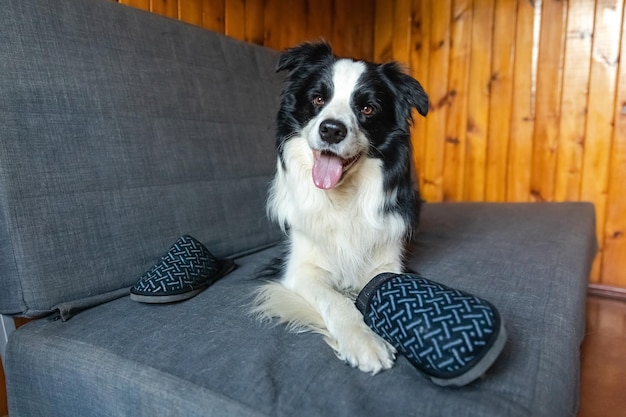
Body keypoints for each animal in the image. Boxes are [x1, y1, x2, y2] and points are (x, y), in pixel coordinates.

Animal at [251, 42, 426, 374]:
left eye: (368, 108)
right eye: (318, 99)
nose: (331, 130)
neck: (342, 198)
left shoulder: (387, 260)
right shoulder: (300, 268)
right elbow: (336, 299)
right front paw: (363, 340)